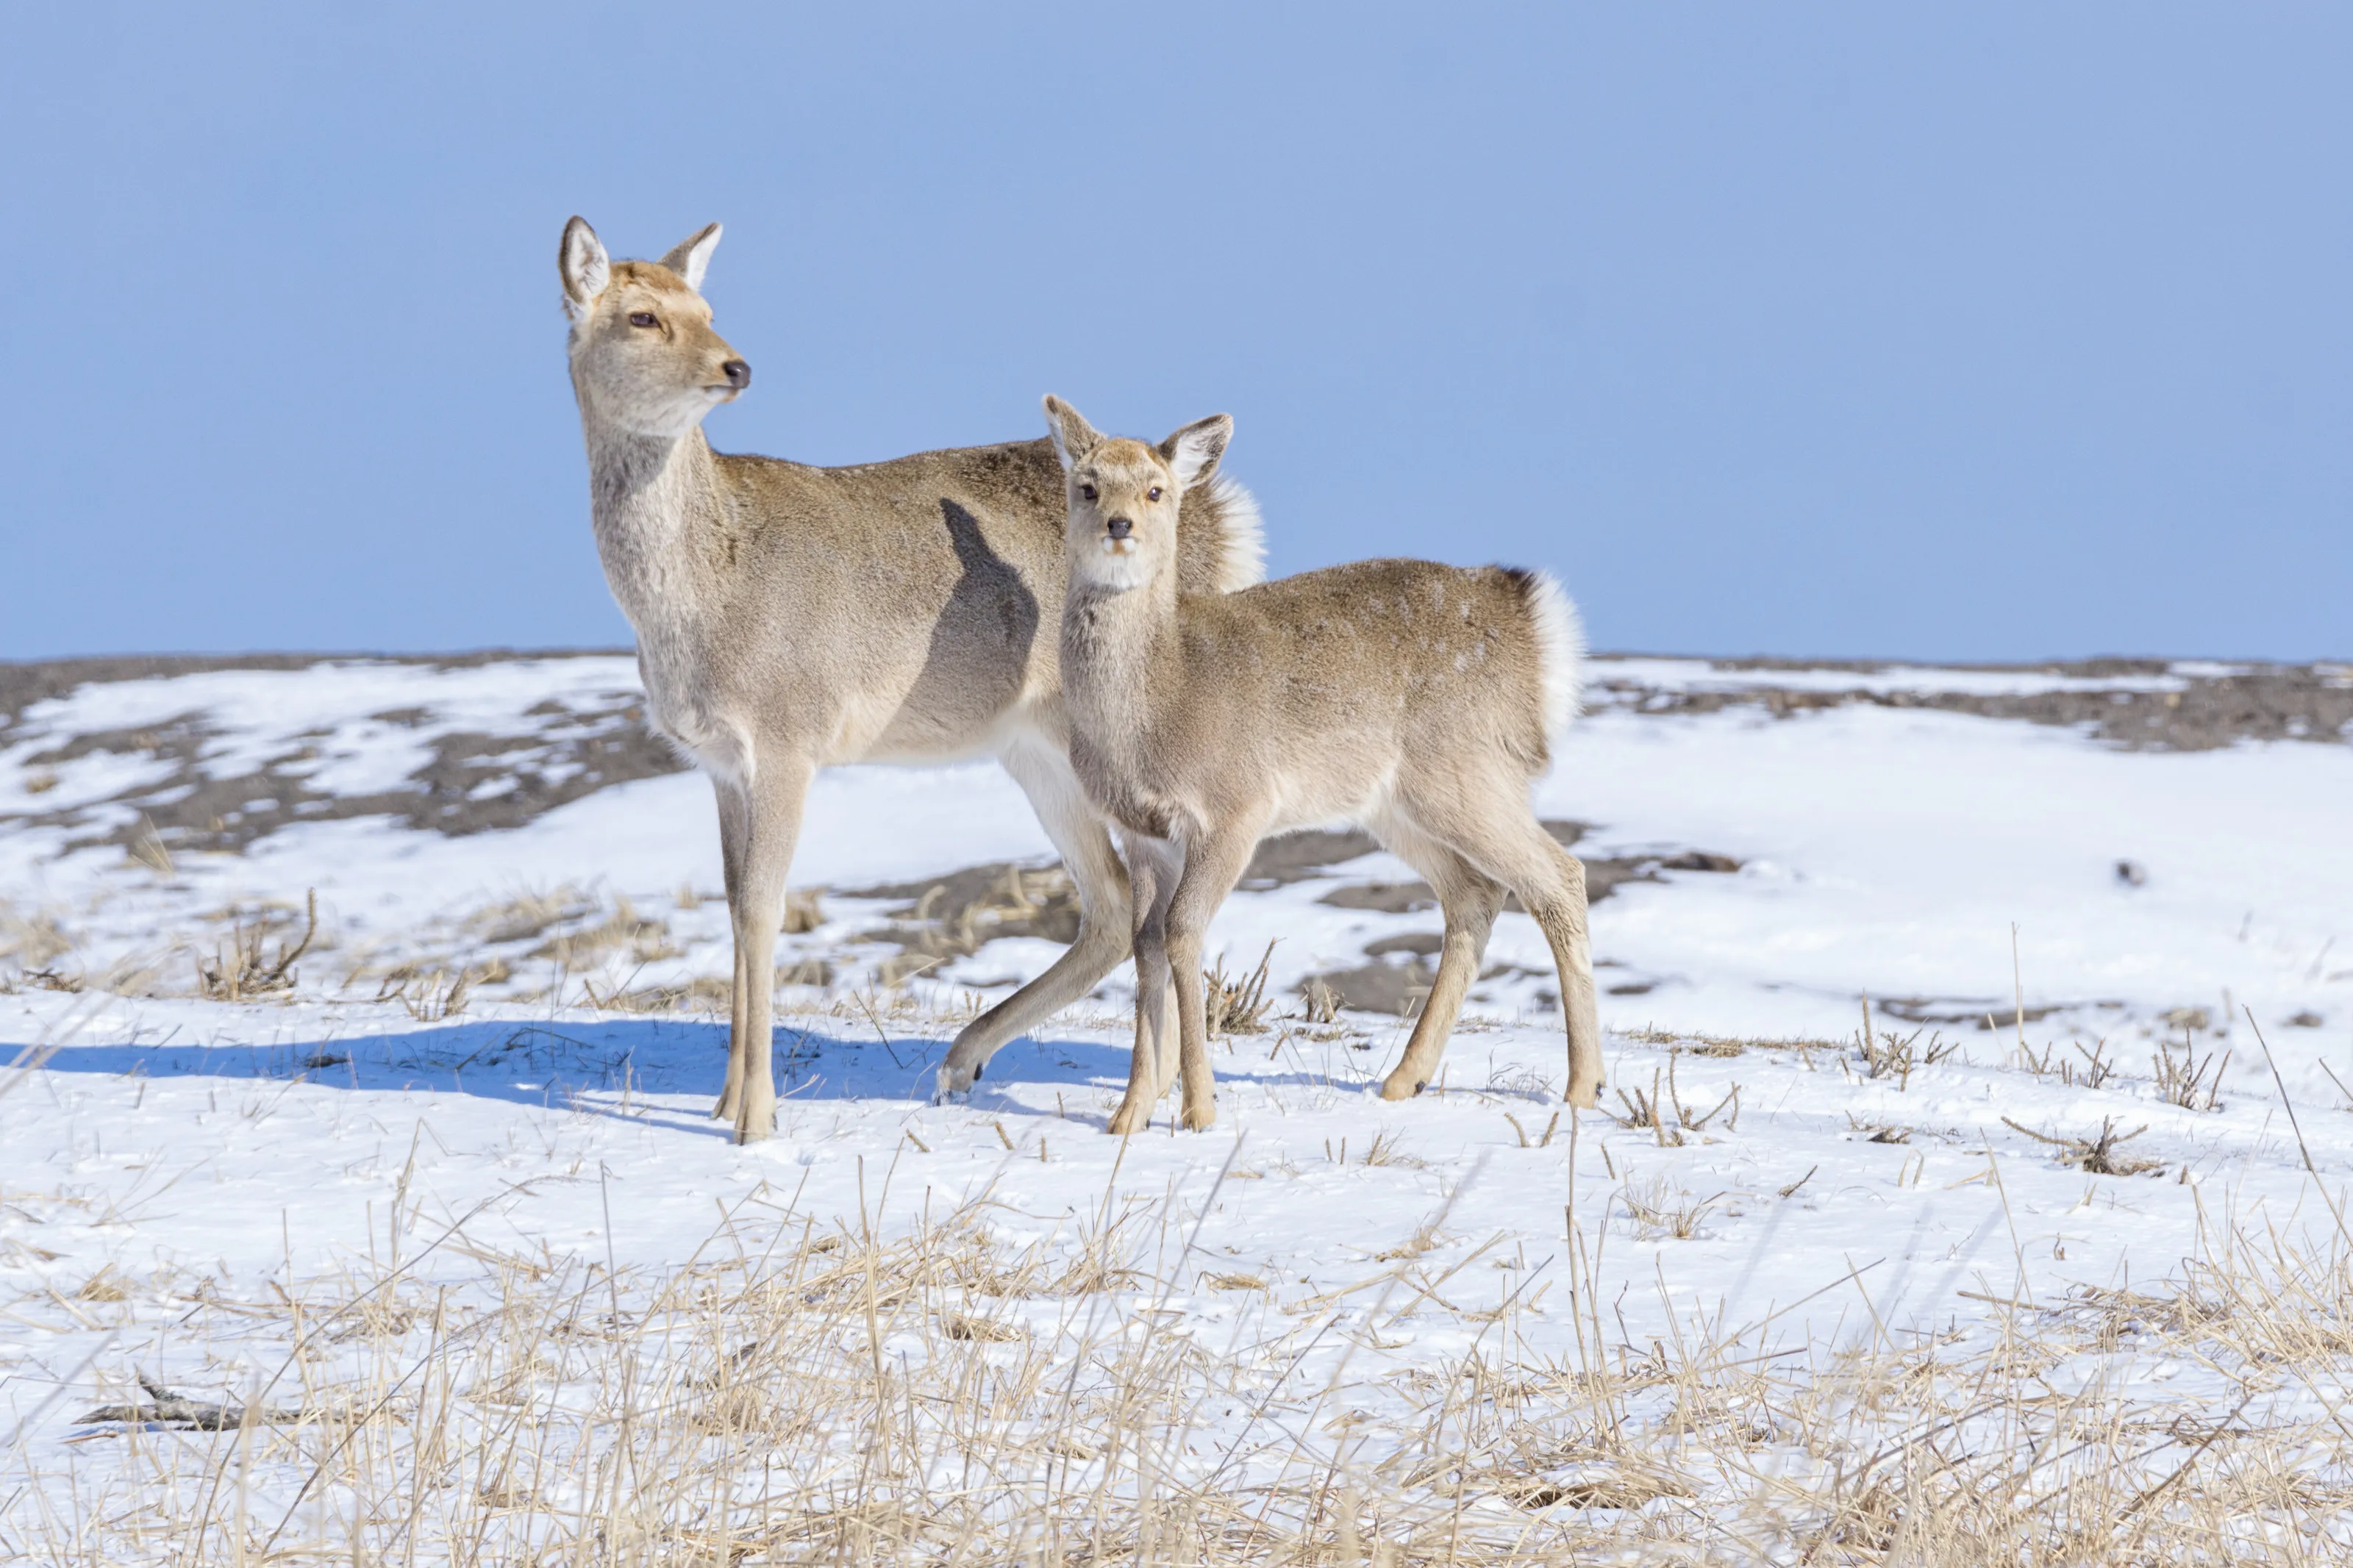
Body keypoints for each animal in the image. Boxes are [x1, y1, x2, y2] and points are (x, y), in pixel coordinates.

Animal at [557, 219, 1264, 1143]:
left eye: (707, 310)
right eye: (641, 315)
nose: (734, 367)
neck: (697, 598)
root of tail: (1219, 513)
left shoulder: (788, 741)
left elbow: (763, 908)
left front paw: (756, 1120)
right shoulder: (717, 763)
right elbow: (731, 902)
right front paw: (722, 1100)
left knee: (1153, 905)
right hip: (1033, 752)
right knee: (1114, 906)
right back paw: (971, 1059)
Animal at [1042, 396, 1603, 1134]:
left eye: (1156, 489)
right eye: (1086, 484)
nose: (1119, 524)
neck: (1156, 705)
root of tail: (1536, 632)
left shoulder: (1236, 809)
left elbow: (1183, 931)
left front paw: (1197, 1108)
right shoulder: (1141, 831)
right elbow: (1147, 945)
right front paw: (1129, 1114)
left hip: (1464, 772)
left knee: (1559, 877)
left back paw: (1583, 1087)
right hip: (1397, 805)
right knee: (1476, 894)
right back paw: (1403, 1080)